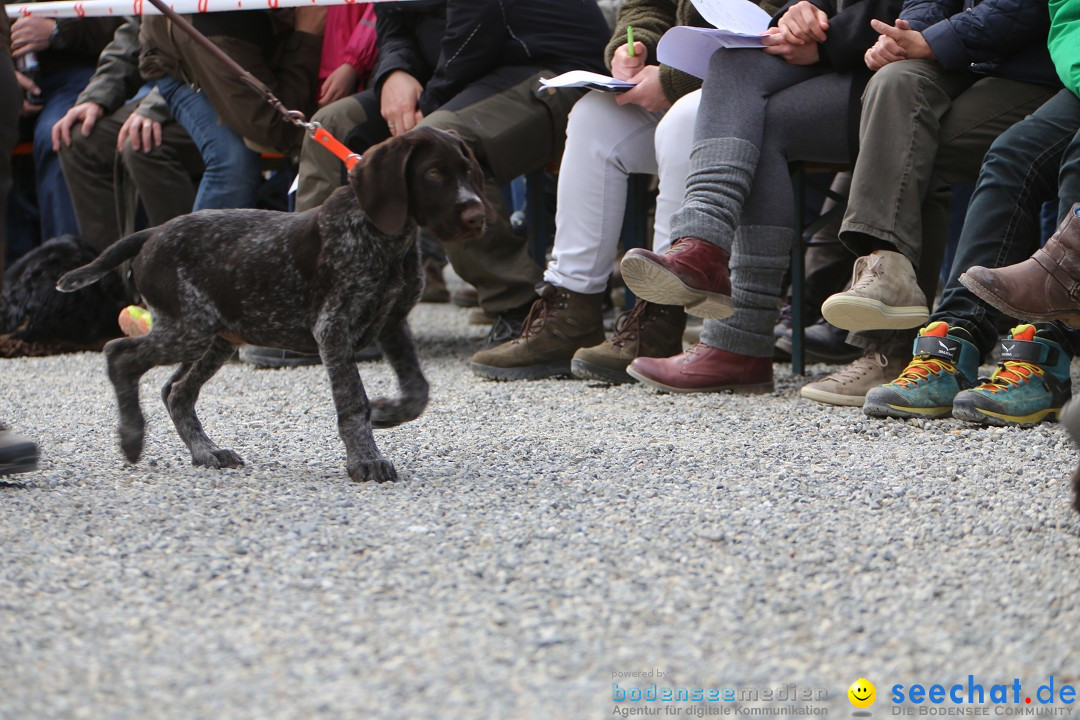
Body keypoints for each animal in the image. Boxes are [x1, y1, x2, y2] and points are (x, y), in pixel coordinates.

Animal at [61, 126, 492, 481]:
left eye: (468, 172)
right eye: (433, 173)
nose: (478, 215)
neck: (387, 238)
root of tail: (153, 231)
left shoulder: (392, 321)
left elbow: (417, 390)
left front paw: (387, 411)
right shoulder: (333, 328)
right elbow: (353, 400)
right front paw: (365, 460)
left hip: (216, 337)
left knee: (176, 391)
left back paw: (206, 452)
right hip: (188, 329)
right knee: (119, 354)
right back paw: (132, 437)